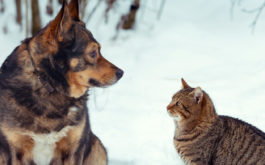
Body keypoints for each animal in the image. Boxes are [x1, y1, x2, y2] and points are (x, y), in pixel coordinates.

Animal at [0, 0, 122, 165]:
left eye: (100, 51)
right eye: (92, 53)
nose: (121, 73)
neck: (47, 83)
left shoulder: (72, 151)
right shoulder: (14, 152)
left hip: (98, 147)